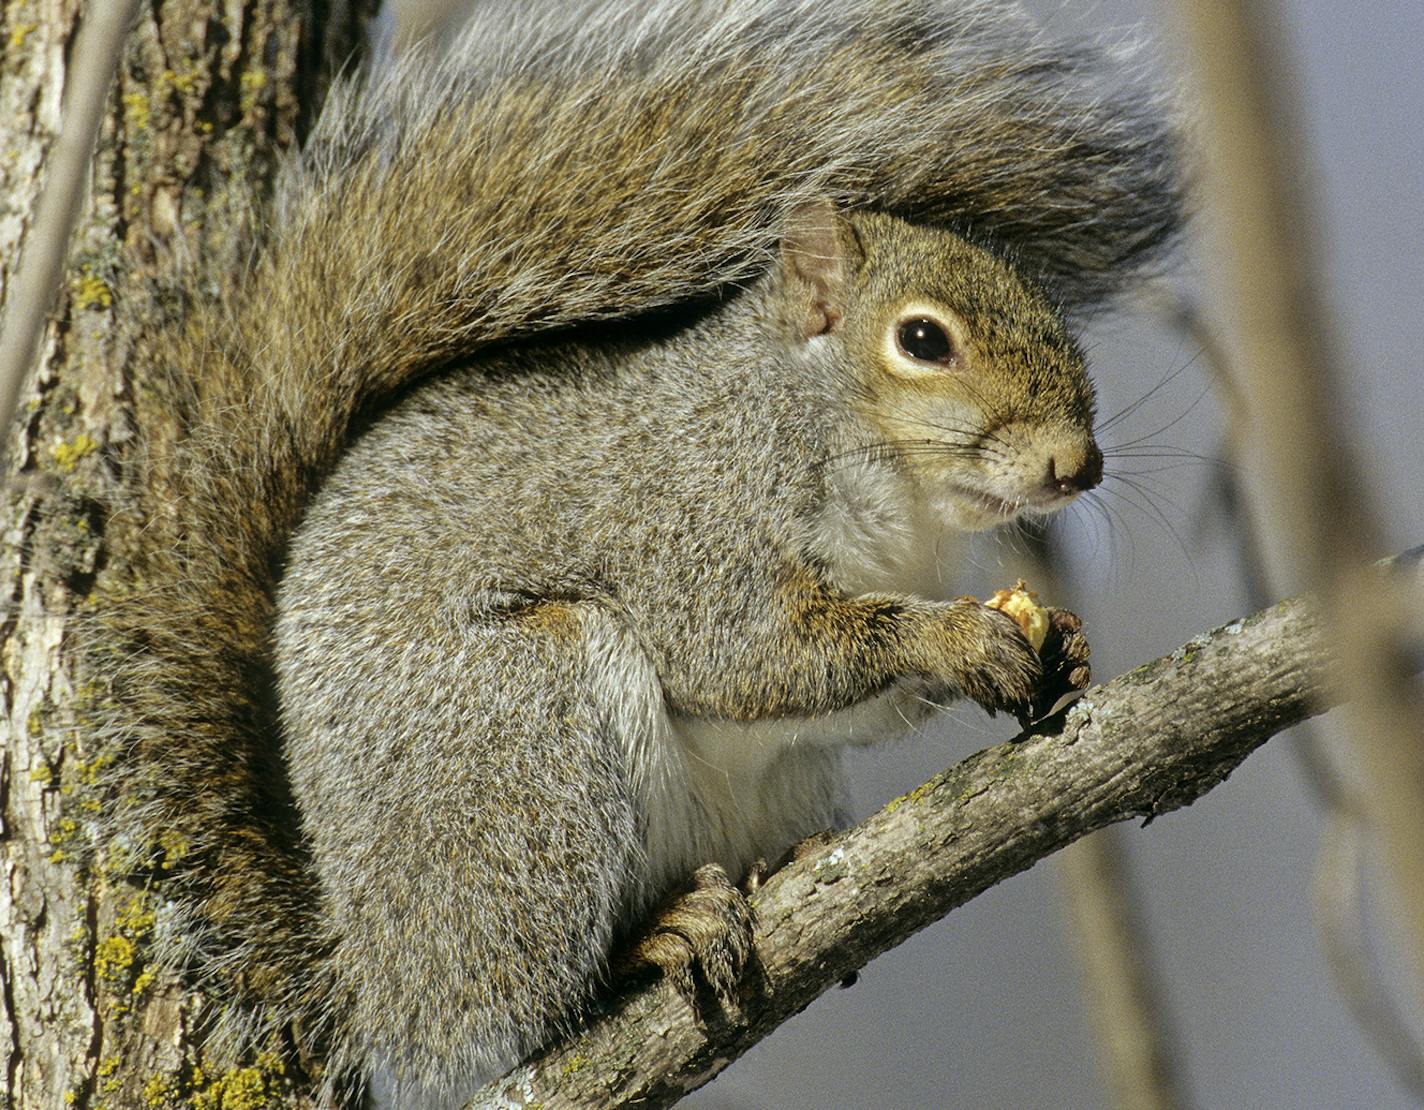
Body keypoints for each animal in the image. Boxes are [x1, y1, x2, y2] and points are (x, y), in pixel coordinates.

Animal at [89, 0, 1179, 1105]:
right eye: (923, 340)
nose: (1076, 463)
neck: (890, 500)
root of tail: (381, 989)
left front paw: (1061, 646)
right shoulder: (688, 523)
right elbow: (748, 654)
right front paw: (954, 642)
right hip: (525, 743)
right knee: (534, 1002)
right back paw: (653, 938)